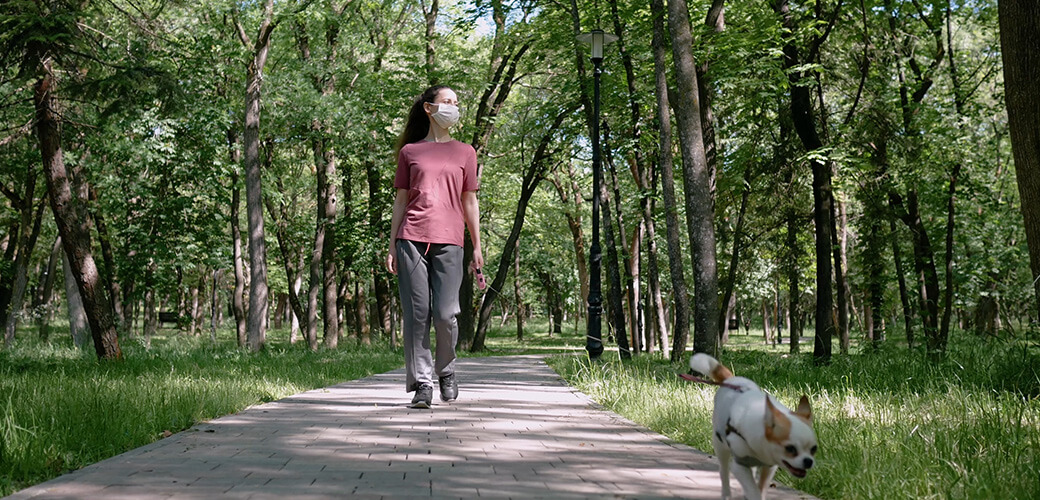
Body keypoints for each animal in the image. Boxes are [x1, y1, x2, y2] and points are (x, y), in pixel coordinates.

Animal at [690, 353, 819, 496]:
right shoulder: (739, 466)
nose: (808, 461)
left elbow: (761, 488)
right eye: (790, 449)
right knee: (724, 473)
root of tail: (732, 379)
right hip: (720, 447)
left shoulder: (769, 466)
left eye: (814, 449)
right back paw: (726, 493)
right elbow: (753, 491)